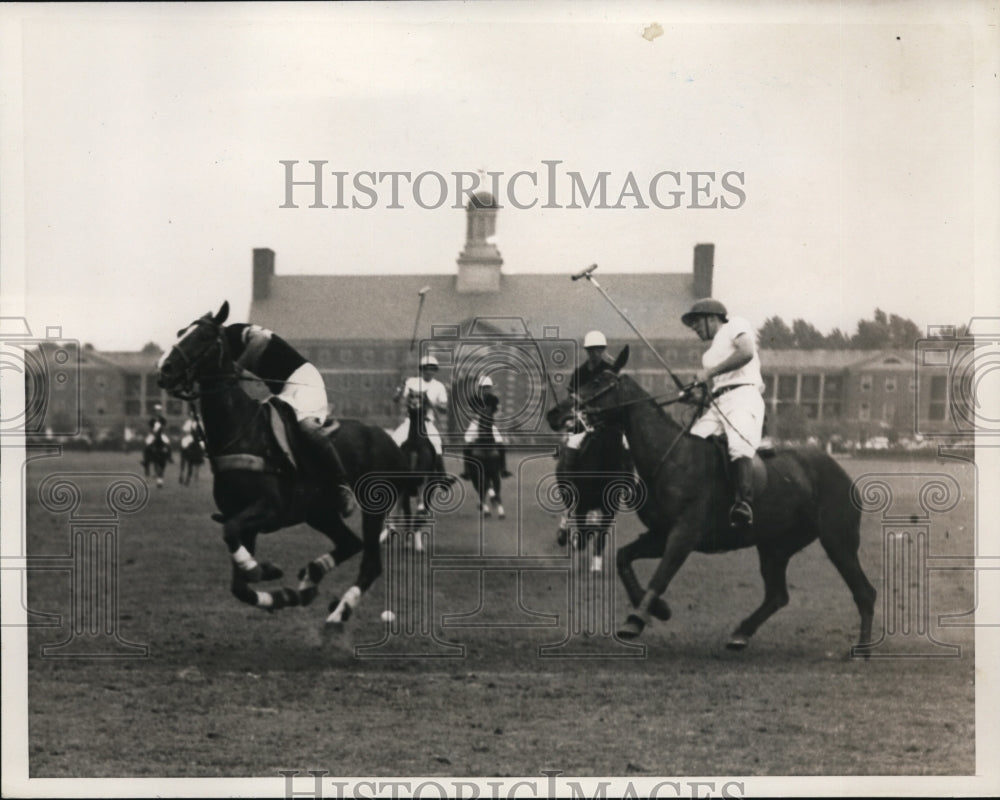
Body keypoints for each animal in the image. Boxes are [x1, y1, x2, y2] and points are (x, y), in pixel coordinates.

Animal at [156, 302, 406, 632]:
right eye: (181, 332)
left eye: (204, 337)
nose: (164, 370)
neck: (242, 431)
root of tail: (390, 439)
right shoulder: (242, 516)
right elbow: (239, 584)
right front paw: (280, 592)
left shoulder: (268, 509)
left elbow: (231, 538)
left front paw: (262, 570)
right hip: (319, 512)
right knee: (349, 543)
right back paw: (311, 578)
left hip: (373, 507)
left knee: (371, 563)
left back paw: (338, 613)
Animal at [580, 346, 876, 652]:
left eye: (598, 382)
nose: (564, 409)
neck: (671, 458)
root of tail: (842, 474)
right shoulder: (660, 534)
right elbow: (623, 557)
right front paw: (659, 609)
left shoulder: (684, 534)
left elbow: (661, 575)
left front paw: (636, 620)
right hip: (775, 545)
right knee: (778, 595)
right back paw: (741, 633)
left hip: (838, 540)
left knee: (864, 592)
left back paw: (862, 649)